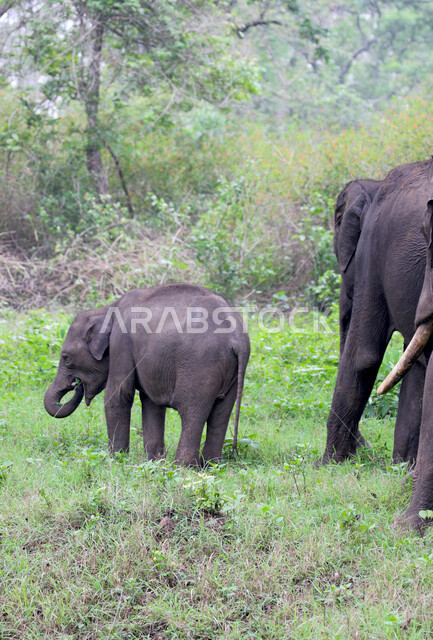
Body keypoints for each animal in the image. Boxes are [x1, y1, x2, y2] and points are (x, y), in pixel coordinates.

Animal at [44, 284, 250, 467]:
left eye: (66, 358)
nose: (75, 384)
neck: (107, 309)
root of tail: (237, 339)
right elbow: (151, 403)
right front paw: (154, 462)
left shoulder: (121, 343)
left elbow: (118, 395)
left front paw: (116, 460)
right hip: (231, 375)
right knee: (220, 414)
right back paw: (210, 466)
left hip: (200, 366)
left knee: (192, 411)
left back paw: (183, 467)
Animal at [320, 158, 433, 467]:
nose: (363, 446)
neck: (374, 184)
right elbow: (414, 362)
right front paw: (403, 465)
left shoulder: (372, 249)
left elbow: (363, 356)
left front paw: (325, 465)